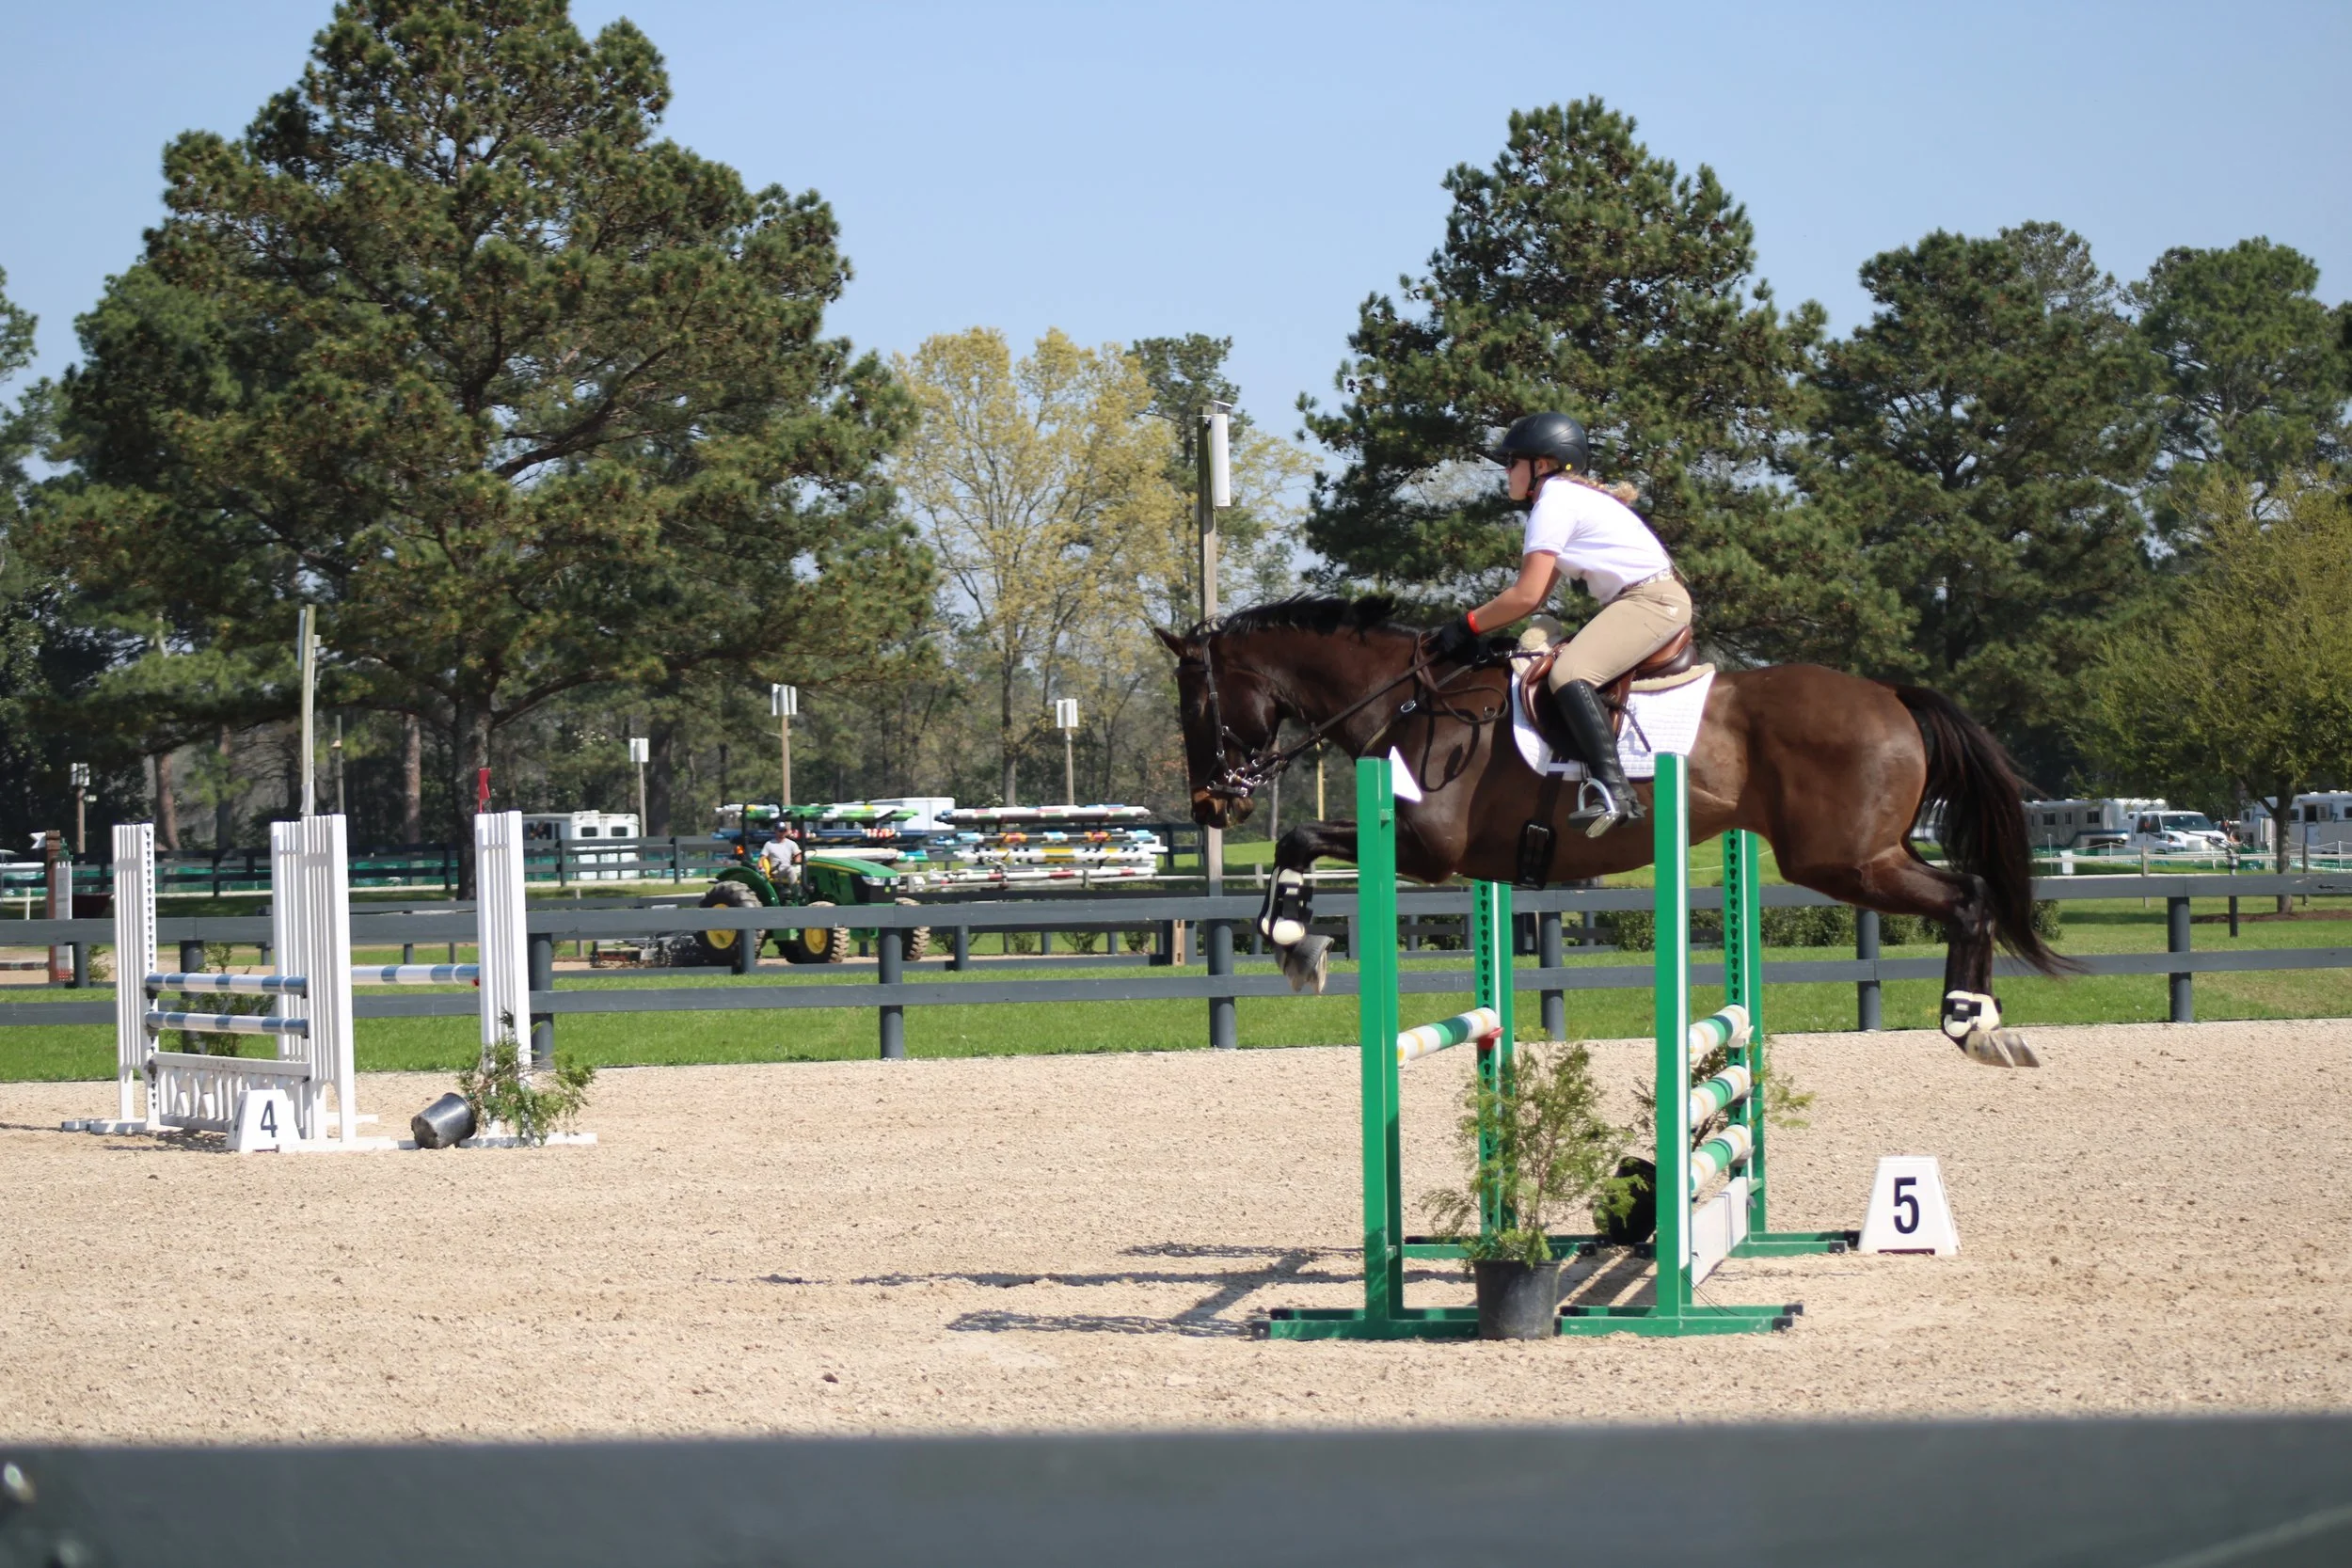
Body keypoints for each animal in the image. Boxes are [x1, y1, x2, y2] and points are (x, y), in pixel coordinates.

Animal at [1156, 596, 2067, 1067]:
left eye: (1195, 705)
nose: (1212, 806)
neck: (1408, 698)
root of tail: (1890, 696)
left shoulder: (1426, 848)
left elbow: (1299, 841)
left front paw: (1290, 938)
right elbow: (1299, 844)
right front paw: (1295, 937)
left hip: (1843, 860)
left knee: (1968, 895)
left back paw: (1966, 1020)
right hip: (1871, 851)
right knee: (1976, 889)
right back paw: (1987, 1020)